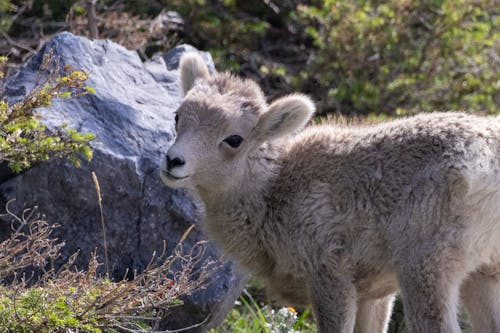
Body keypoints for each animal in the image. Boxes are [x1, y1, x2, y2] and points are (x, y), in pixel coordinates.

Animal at [159, 53, 500, 330]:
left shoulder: (330, 277)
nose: (173, 161)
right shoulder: (374, 294)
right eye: (178, 116)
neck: (273, 193)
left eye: (234, 139)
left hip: (427, 269)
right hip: (484, 274)